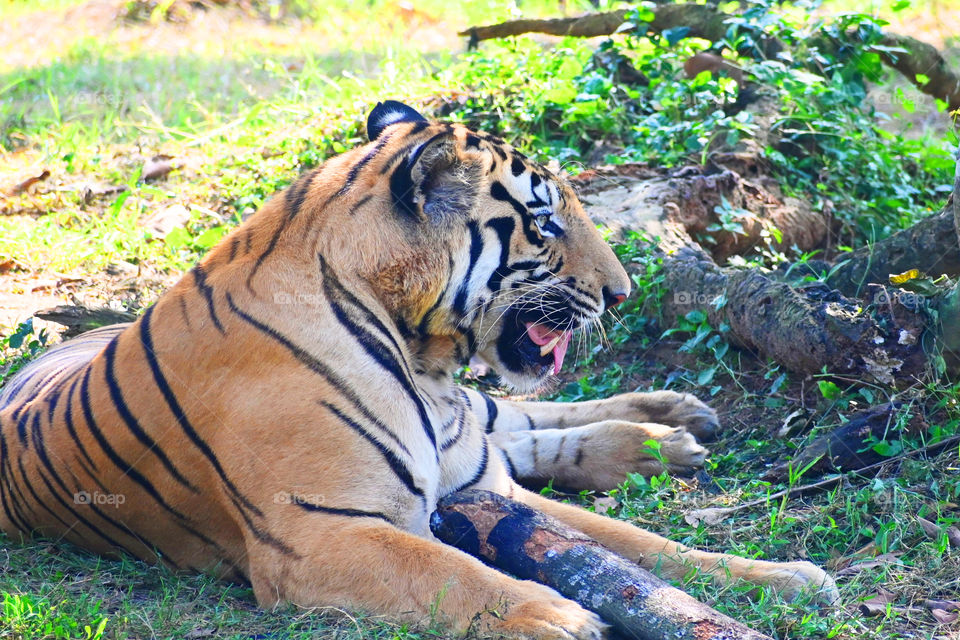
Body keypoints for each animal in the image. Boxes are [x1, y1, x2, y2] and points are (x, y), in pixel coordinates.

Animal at [0, 101, 837, 639]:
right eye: (546, 223)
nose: (622, 293)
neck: (424, 361)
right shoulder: (321, 531)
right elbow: (449, 574)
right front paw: (557, 617)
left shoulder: (482, 487)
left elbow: (649, 548)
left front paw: (785, 580)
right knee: (522, 433)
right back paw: (664, 440)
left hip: (487, 429)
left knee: (523, 421)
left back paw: (672, 424)